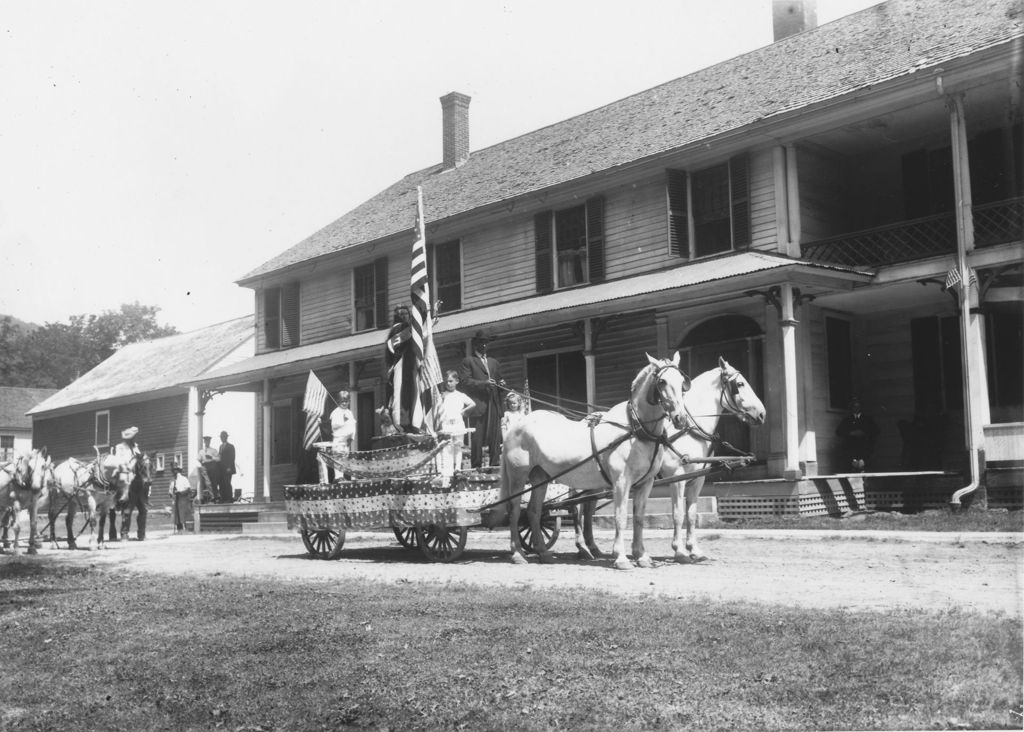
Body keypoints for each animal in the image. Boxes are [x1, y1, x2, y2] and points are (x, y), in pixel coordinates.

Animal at [499, 352, 692, 569]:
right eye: (662, 381)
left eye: (682, 382)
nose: (681, 419)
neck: (635, 429)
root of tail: (516, 427)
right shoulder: (621, 482)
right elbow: (620, 517)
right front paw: (621, 557)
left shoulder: (646, 483)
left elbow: (638, 518)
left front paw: (641, 556)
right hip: (518, 476)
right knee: (515, 510)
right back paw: (518, 553)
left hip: (540, 477)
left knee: (533, 511)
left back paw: (543, 552)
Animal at [663, 358, 770, 565]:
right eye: (740, 384)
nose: (762, 414)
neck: (688, 430)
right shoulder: (677, 479)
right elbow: (678, 515)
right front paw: (679, 551)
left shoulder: (697, 479)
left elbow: (691, 514)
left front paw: (694, 550)